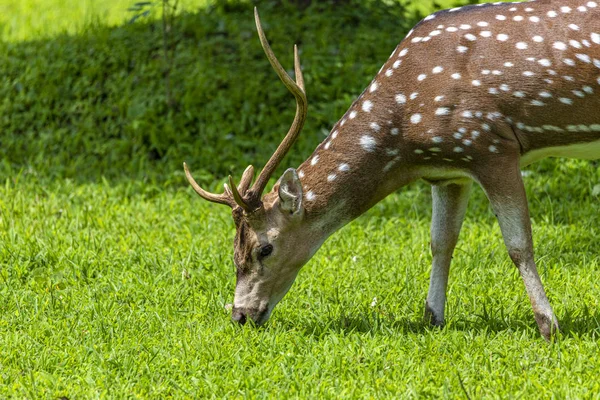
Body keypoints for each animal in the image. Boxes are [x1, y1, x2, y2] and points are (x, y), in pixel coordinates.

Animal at [184, 2, 600, 340]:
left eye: (264, 248)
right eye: (233, 249)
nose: (240, 315)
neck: (407, 140)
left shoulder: (491, 145)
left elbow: (518, 245)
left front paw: (548, 326)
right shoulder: (449, 170)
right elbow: (441, 242)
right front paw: (432, 318)